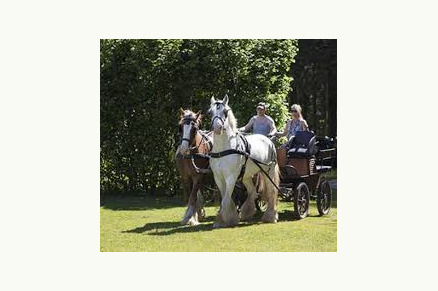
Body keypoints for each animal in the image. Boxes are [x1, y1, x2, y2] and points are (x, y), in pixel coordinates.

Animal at [208, 95, 278, 228]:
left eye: (225, 112)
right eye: (210, 112)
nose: (217, 128)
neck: (223, 150)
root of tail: (268, 139)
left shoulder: (231, 177)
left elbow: (226, 198)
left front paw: (221, 220)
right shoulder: (218, 177)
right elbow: (226, 197)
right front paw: (230, 218)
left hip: (268, 172)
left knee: (272, 192)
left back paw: (270, 217)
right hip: (247, 176)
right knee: (252, 192)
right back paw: (247, 213)